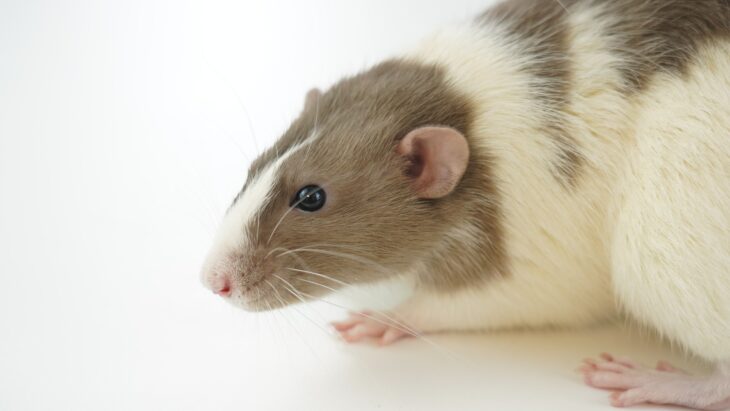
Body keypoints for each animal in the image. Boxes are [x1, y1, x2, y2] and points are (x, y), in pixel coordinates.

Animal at [201, 0, 730, 409]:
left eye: (311, 197)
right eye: (253, 168)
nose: (212, 281)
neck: (458, 106)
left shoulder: (535, 231)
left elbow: (524, 296)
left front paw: (393, 316)